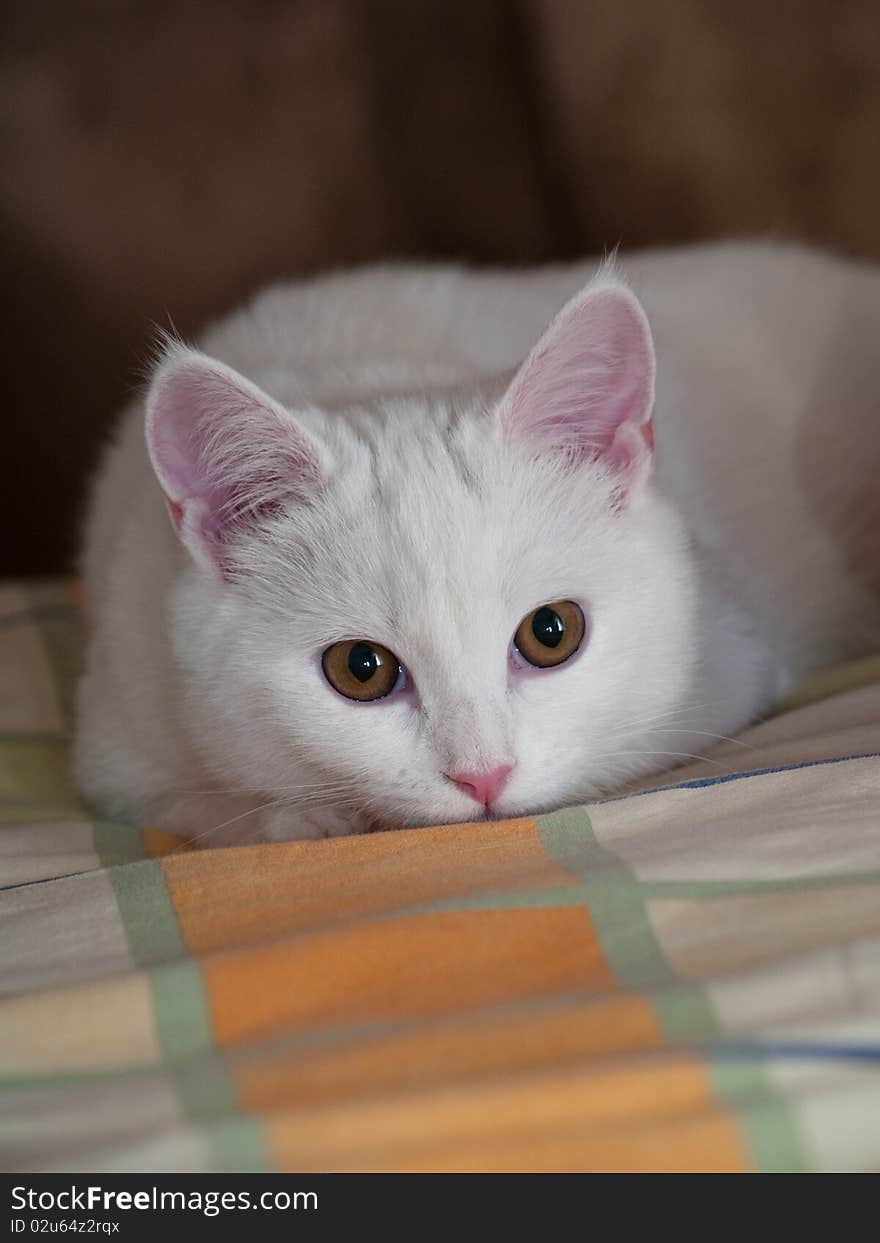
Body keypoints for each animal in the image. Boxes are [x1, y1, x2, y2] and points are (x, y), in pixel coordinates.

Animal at [73, 238, 879, 845]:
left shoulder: (727, 663)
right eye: (359, 668)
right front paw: (302, 815)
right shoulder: (120, 713)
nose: (483, 775)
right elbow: (183, 798)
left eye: (552, 632)